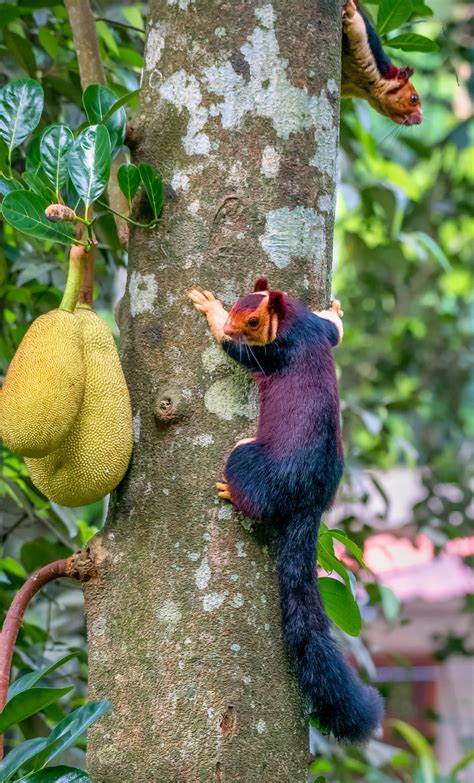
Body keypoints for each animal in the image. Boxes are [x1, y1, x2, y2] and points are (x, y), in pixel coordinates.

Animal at [188, 278, 383, 743]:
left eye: (251, 320)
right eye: (240, 304)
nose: (231, 322)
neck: (292, 321)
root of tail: (312, 501)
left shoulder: (275, 352)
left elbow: (235, 352)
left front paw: (210, 311)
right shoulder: (317, 332)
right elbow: (335, 332)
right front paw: (336, 311)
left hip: (253, 463)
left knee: (255, 494)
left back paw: (231, 490)